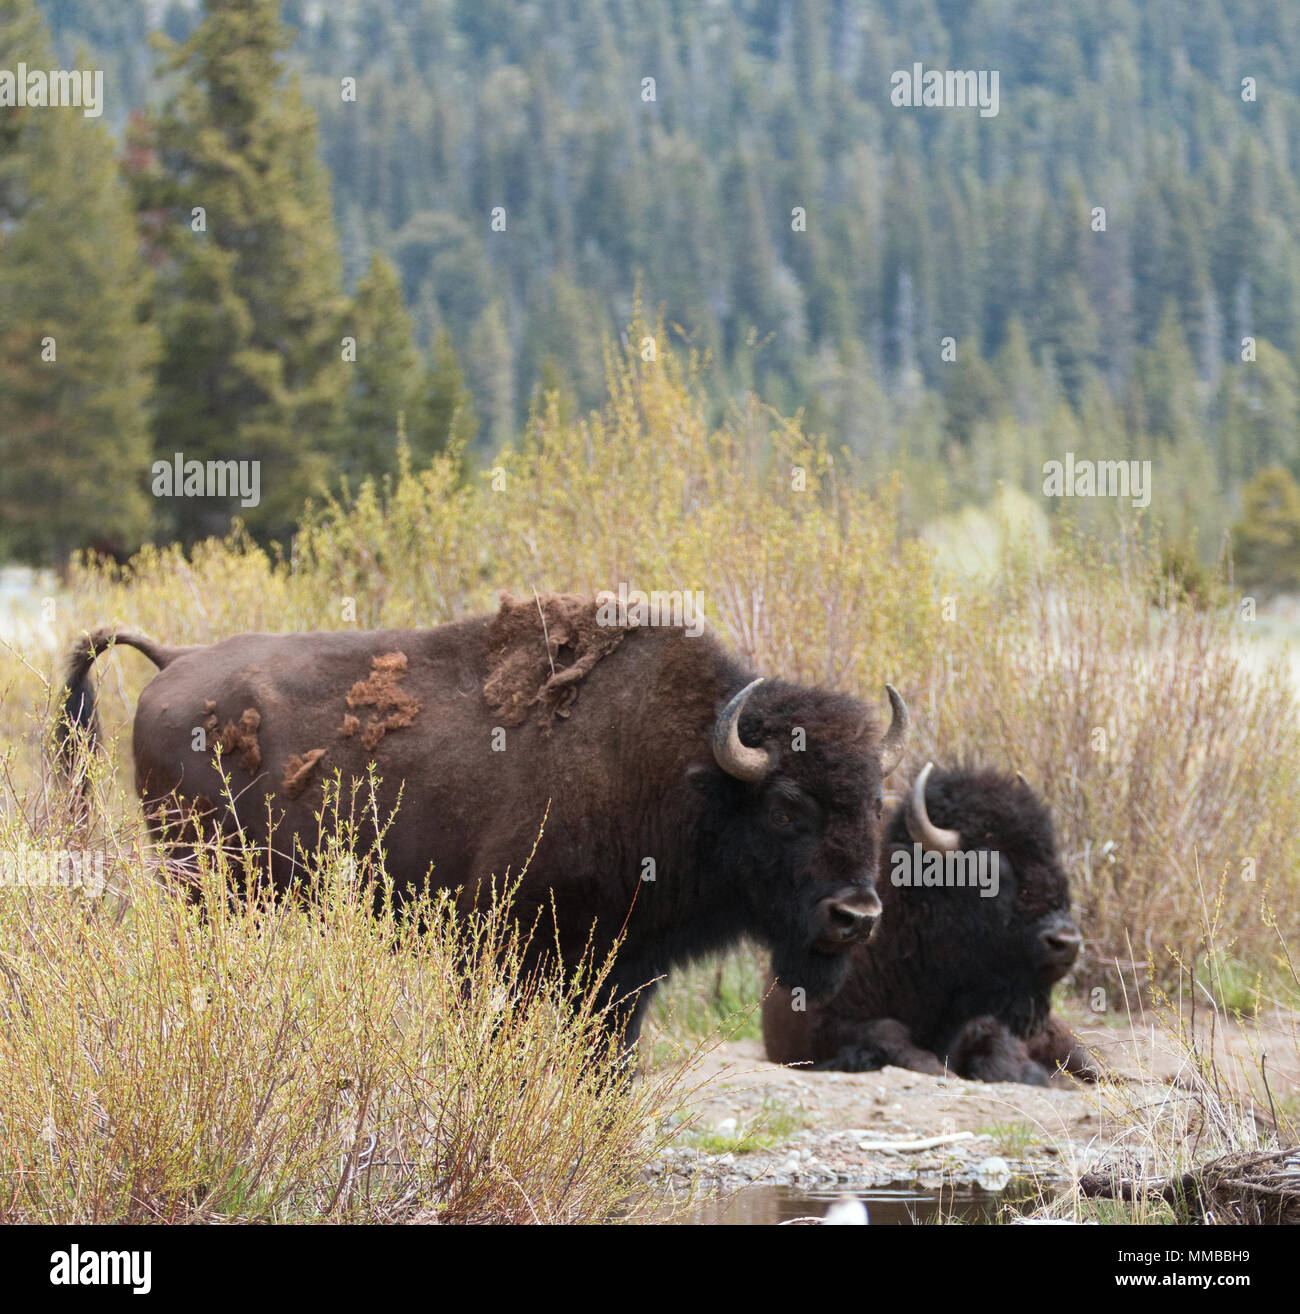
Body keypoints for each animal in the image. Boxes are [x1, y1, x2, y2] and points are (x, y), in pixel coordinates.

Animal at [63, 593, 904, 1045]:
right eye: (788, 807)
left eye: (875, 800)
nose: (857, 917)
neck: (682, 765)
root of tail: (174, 662)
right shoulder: (502, 947)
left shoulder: (625, 973)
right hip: (207, 887)